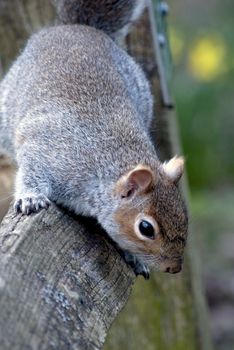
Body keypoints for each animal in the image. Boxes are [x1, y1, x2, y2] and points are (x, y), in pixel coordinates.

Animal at [0, 0, 187, 278]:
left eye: (185, 215)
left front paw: (134, 258)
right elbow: (32, 170)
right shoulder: (51, 151)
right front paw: (31, 198)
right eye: (146, 228)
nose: (174, 268)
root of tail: (79, 28)